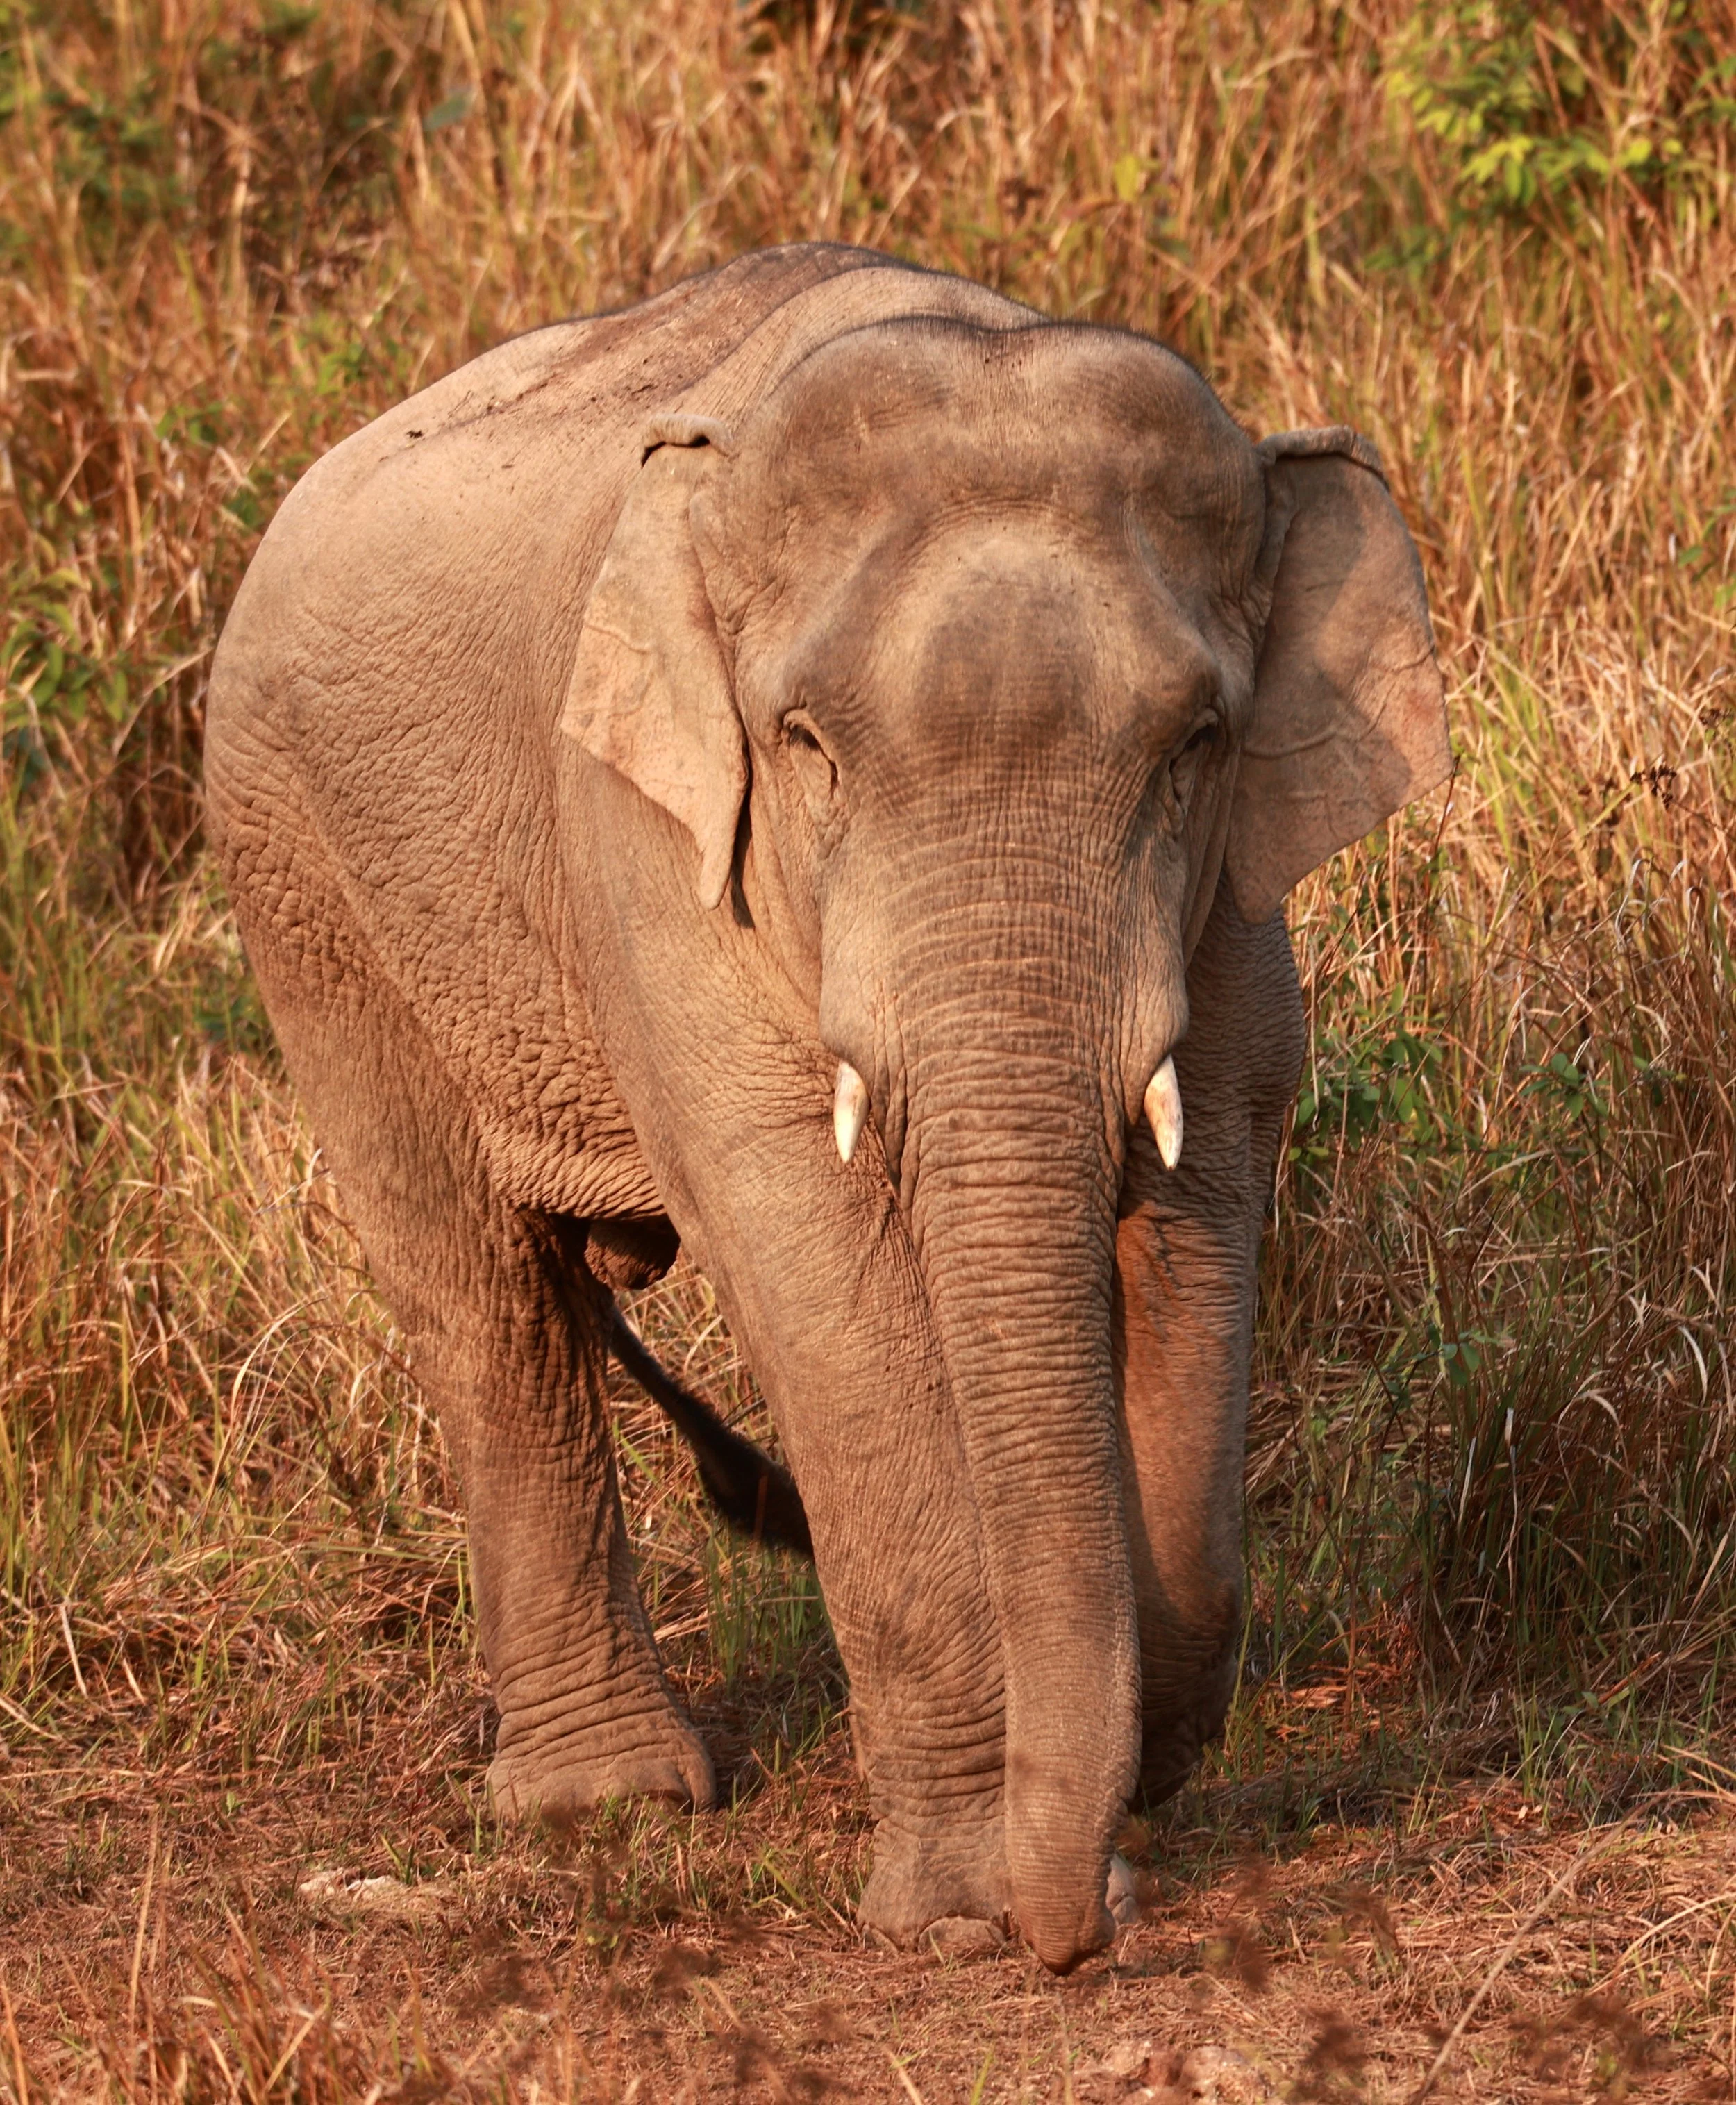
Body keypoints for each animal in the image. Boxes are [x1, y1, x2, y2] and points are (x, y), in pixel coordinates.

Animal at [205, 242, 1448, 1973]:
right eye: (804, 745)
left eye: (1193, 744)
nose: (1080, 1928)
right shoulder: (655, 854)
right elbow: (805, 1249)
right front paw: (955, 1917)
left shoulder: (1232, 903)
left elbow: (1206, 1188)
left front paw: (1130, 1755)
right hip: (302, 884)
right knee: (480, 1295)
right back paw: (604, 1805)